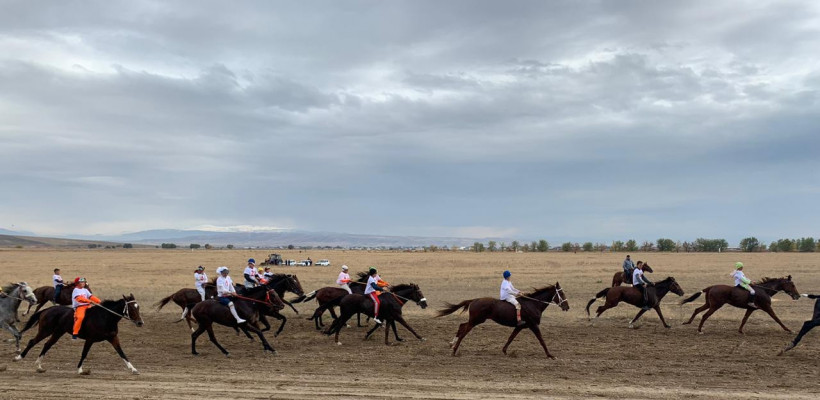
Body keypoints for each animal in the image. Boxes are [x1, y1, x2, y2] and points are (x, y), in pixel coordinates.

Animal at [14, 294, 144, 376]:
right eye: (131, 307)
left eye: (138, 307)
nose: (140, 323)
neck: (105, 317)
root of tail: (47, 310)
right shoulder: (90, 339)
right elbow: (84, 353)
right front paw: (80, 370)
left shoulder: (113, 338)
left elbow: (121, 353)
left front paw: (133, 369)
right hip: (45, 331)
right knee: (32, 341)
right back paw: (19, 357)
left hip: (58, 332)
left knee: (47, 345)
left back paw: (39, 366)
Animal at [436, 282, 572, 358]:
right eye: (561, 293)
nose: (567, 307)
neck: (534, 304)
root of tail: (475, 300)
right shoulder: (533, 325)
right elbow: (541, 340)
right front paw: (550, 355)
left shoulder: (520, 326)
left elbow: (511, 338)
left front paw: (505, 351)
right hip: (476, 320)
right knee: (464, 331)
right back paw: (454, 350)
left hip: (475, 320)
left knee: (461, 326)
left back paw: (452, 345)